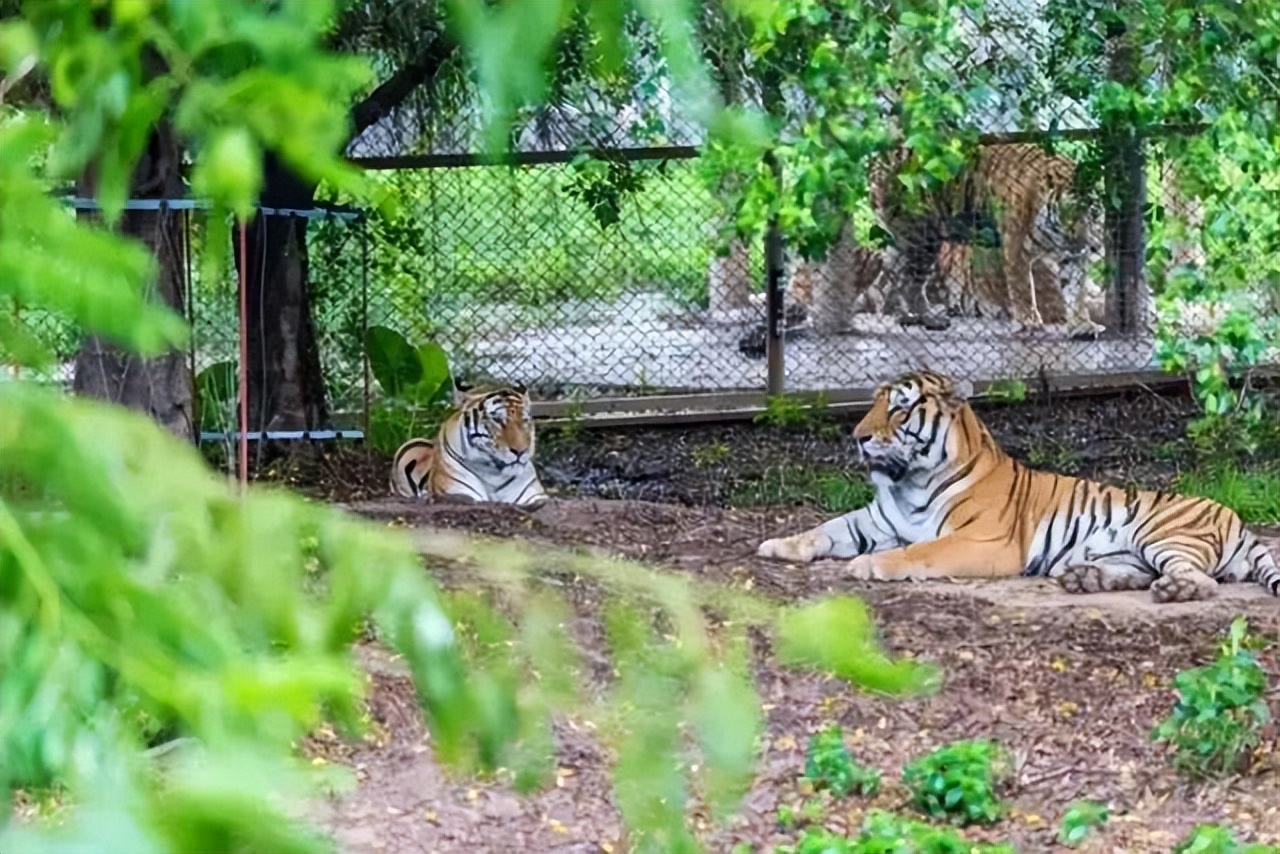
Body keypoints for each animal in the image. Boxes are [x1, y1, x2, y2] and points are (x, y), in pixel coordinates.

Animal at [389, 384, 550, 512]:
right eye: (497, 420)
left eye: (525, 421)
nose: (521, 451)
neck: (493, 474)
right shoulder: (459, 492)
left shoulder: (534, 495)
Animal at [752, 368, 1280, 601]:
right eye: (874, 403)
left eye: (900, 409)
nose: (858, 437)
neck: (910, 482)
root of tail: (1237, 520)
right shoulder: (875, 519)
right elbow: (824, 529)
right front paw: (778, 546)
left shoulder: (984, 540)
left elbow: (919, 551)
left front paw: (869, 565)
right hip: (1130, 550)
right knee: (1140, 573)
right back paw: (1086, 579)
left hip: (1164, 533)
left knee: (1200, 580)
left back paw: (1172, 590)